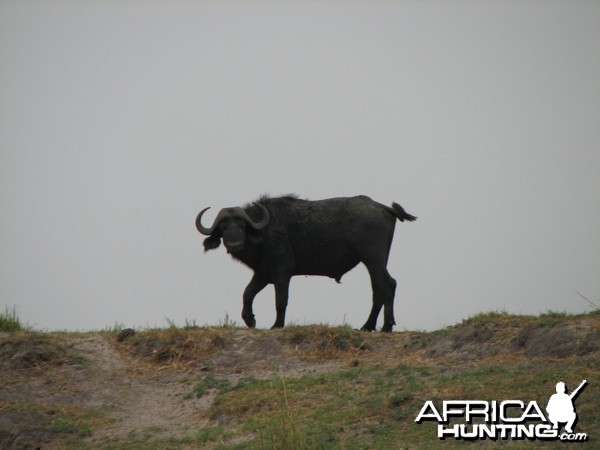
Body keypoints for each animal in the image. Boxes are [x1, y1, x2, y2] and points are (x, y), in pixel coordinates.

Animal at [195, 195, 414, 332]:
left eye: (241, 226)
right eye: (223, 228)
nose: (235, 245)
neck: (263, 232)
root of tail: (382, 207)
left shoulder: (282, 273)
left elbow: (281, 300)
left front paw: (277, 325)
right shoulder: (263, 274)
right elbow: (247, 293)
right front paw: (250, 320)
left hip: (372, 259)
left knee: (386, 285)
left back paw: (384, 326)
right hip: (376, 261)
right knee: (381, 287)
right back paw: (370, 326)